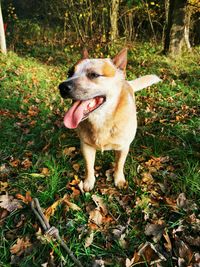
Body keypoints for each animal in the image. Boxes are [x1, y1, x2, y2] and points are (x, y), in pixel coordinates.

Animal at [58, 49, 161, 192]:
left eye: (94, 74)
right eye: (69, 73)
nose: (62, 87)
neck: (101, 121)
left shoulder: (123, 147)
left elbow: (119, 165)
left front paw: (119, 179)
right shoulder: (86, 146)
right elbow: (89, 166)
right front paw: (89, 181)